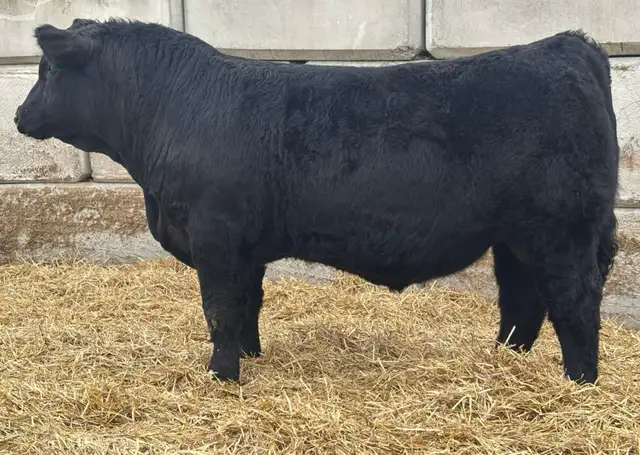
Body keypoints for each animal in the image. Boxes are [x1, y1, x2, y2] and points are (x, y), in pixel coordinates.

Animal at [15, 18, 619, 385]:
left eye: (47, 71)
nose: (19, 115)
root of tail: (567, 45)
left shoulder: (215, 237)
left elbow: (220, 308)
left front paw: (221, 375)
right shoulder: (245, 247)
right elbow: (247, 304)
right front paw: (250, 358)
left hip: (559, 231)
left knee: (574, 300)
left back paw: (579, 383)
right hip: (512, 237)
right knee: (522, 302)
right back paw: (502, 363)